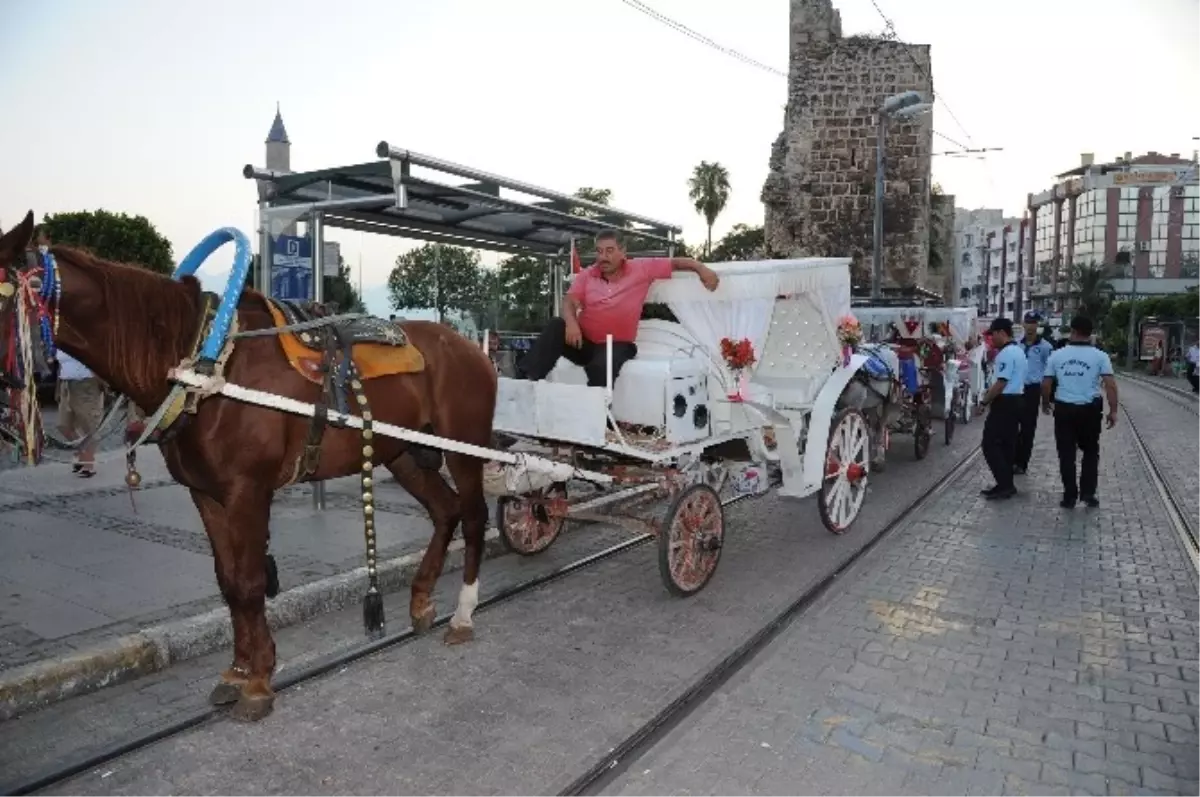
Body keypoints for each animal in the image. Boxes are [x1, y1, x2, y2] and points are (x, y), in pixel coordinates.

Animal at [0, 211, 496, 720]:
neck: (206, 363)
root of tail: (468, 346)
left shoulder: (247, 491)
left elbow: (251, 579)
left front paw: (257, 681)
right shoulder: (205, 493)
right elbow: (229, 582)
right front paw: (239, 672)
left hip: (464, 446)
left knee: (474, 516)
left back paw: (463, 614)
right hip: (403, 455)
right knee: (445, 511)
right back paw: (421, 600)